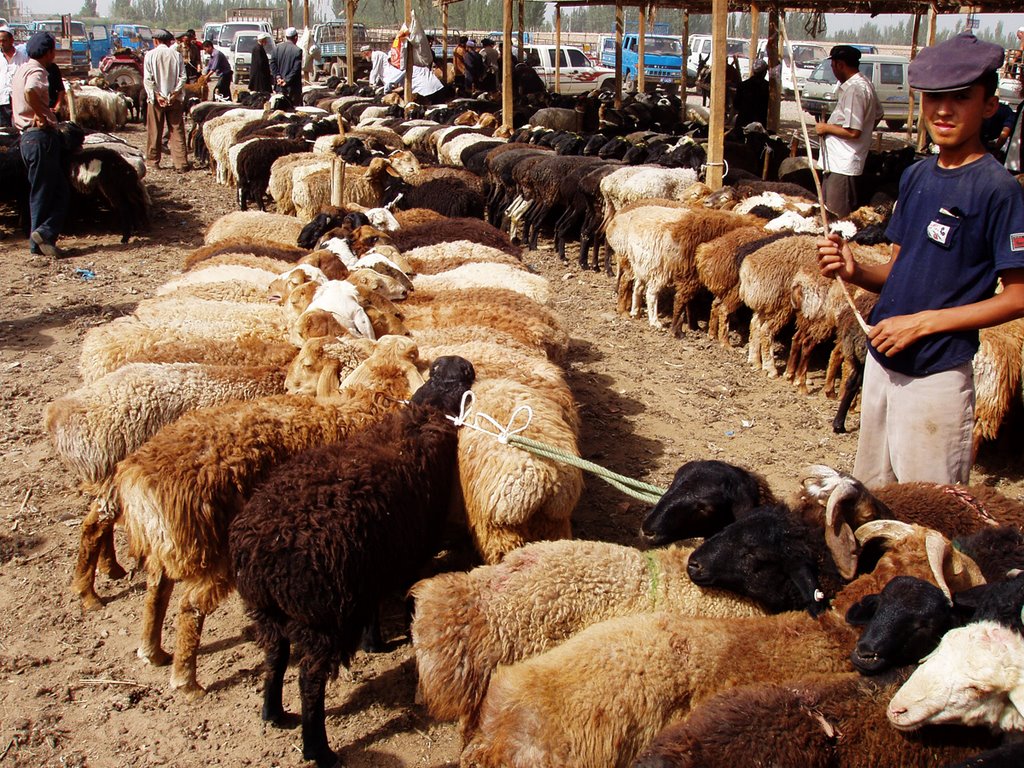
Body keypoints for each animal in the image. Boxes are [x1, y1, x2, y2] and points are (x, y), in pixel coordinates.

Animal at [228, 356, 475, 768]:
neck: (425, 414)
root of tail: (264, 558)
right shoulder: (411, 548)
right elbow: (406, 591)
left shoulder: (372, 562)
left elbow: (373, 605)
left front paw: (373, 643)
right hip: (321, 620)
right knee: (309, 681)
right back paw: (317, 748)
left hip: (267, 612)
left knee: (275, 657)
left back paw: (273, 712)